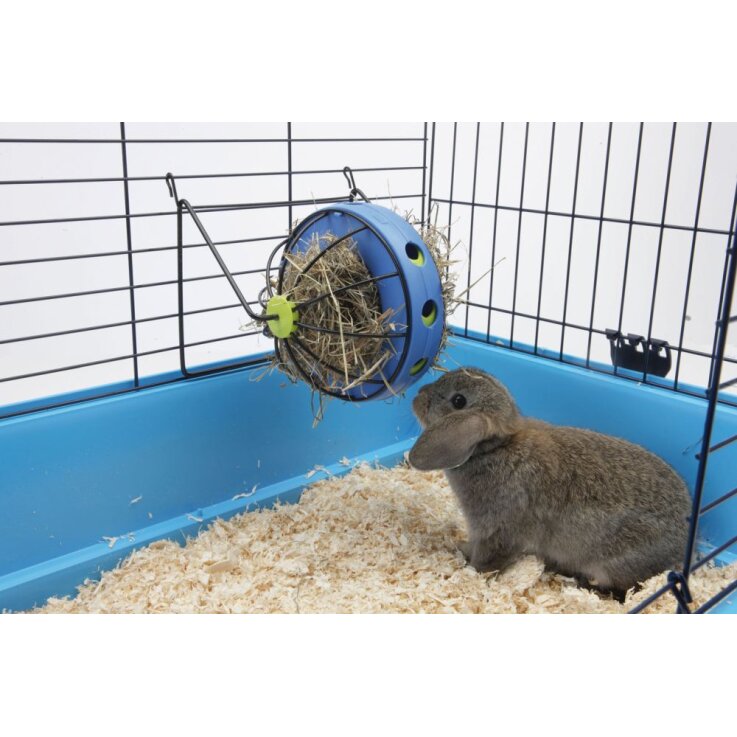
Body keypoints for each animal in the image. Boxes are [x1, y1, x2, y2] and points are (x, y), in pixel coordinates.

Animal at [408, 367, 691, 601]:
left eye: (458, 401)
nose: (418, 395)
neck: (494, 448)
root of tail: (682, 547)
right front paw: (460, 548)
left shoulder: (498, 531)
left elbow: (488, 560)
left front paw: (470, 570)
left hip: (613, 566)